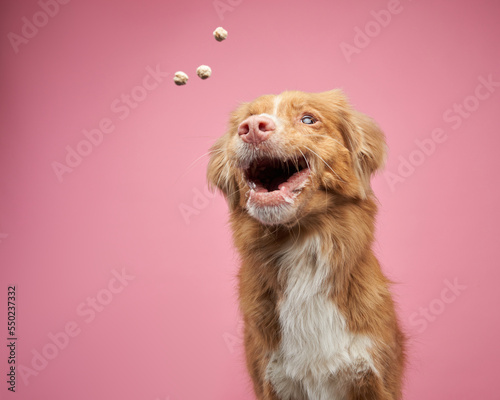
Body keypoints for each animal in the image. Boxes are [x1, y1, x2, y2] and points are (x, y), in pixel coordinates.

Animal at [207, 90, 406, 400]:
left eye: (308, 119)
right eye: (246, 119)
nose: (251, 128)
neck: (300, 243)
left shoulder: (374, 378)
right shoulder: (271, 381)